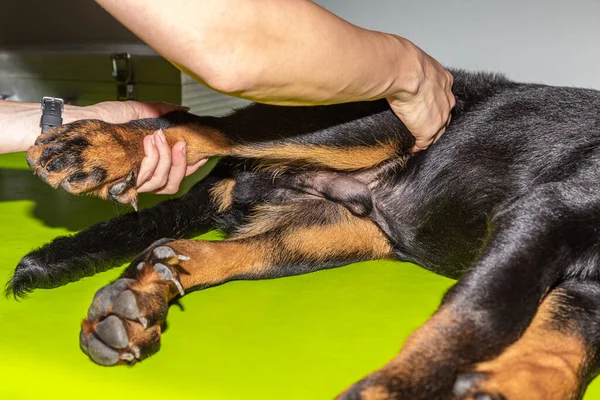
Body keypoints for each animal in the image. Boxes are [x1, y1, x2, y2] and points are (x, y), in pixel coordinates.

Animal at [5, 70, 600, 398]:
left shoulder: (583, 289)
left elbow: (565, 346)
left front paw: (505, 388)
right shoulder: (547, 211)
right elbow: (485, 315)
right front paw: (391, 390)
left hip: (339, 230)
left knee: (187, 248)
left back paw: (138, 303)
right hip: (363, 127)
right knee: (199, 126)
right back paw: (102, 147)